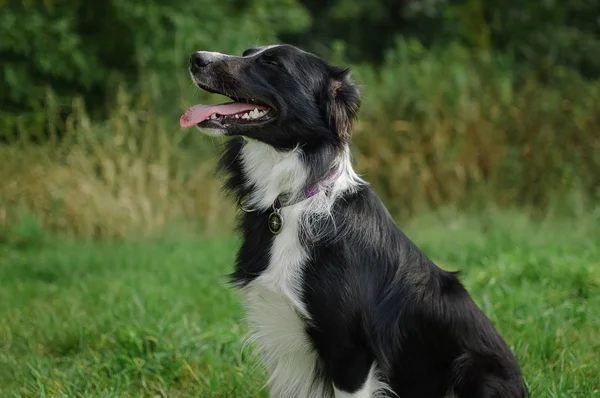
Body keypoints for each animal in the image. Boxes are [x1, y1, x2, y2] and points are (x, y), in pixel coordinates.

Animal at [179, 44, 524, 398]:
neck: (295, 200)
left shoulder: (350, 351)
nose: (197, 58)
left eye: (272, 63)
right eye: (247, 52)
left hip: (475, 370)